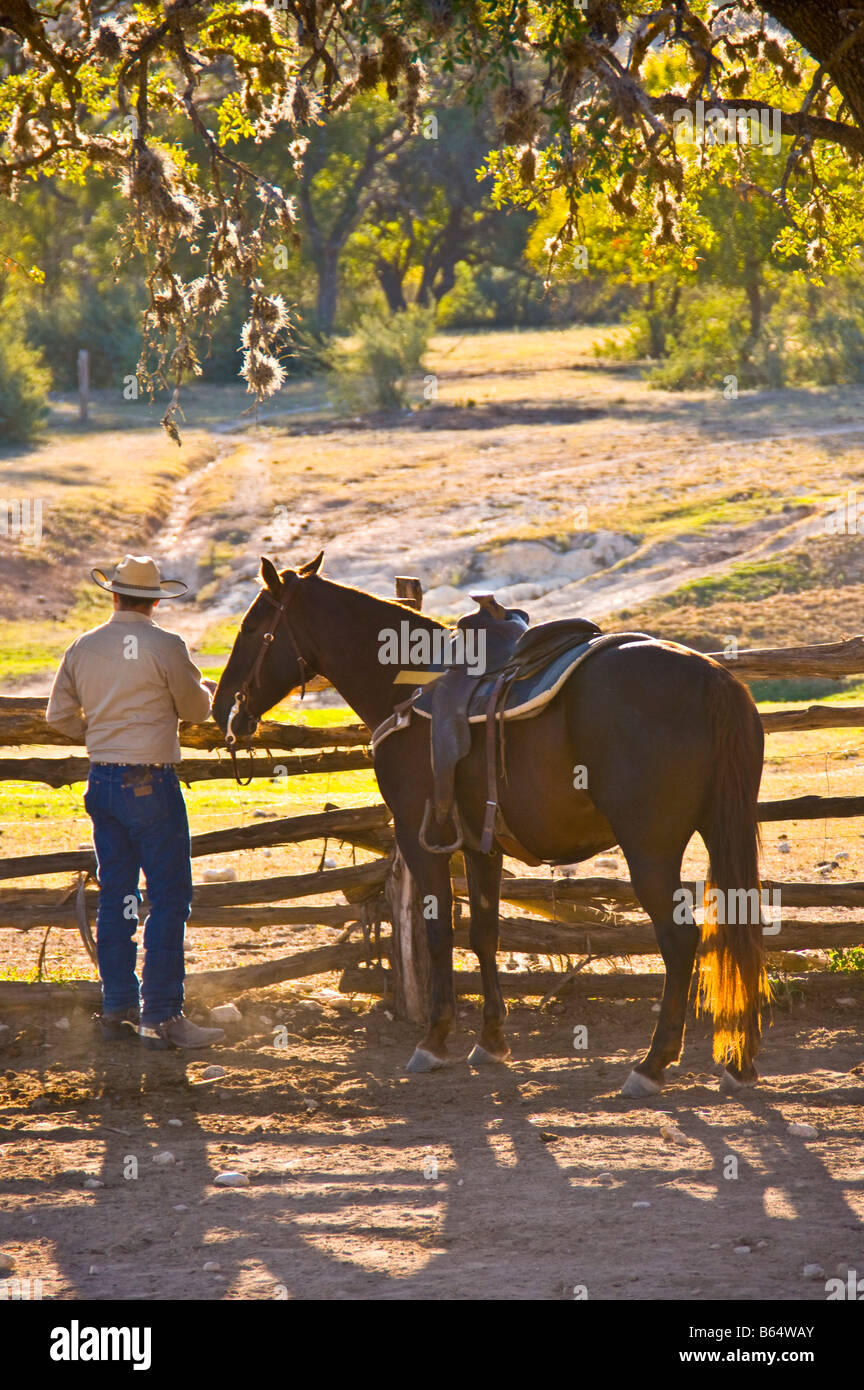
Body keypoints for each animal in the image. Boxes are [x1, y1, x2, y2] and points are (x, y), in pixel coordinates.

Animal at [215, 553, 772, 1095]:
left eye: (251, 627)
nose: (223, 710)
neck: (404, 685)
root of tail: (711, 677)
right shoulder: (483, 846)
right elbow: (485, 933)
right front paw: (490, 1040)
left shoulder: (420, 837)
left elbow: (439, 930)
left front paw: (435, 1040)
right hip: (719, 827)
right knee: (736, 927)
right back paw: (738, 1062)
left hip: (650, 846)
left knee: (679, 941)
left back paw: (652, 1065)